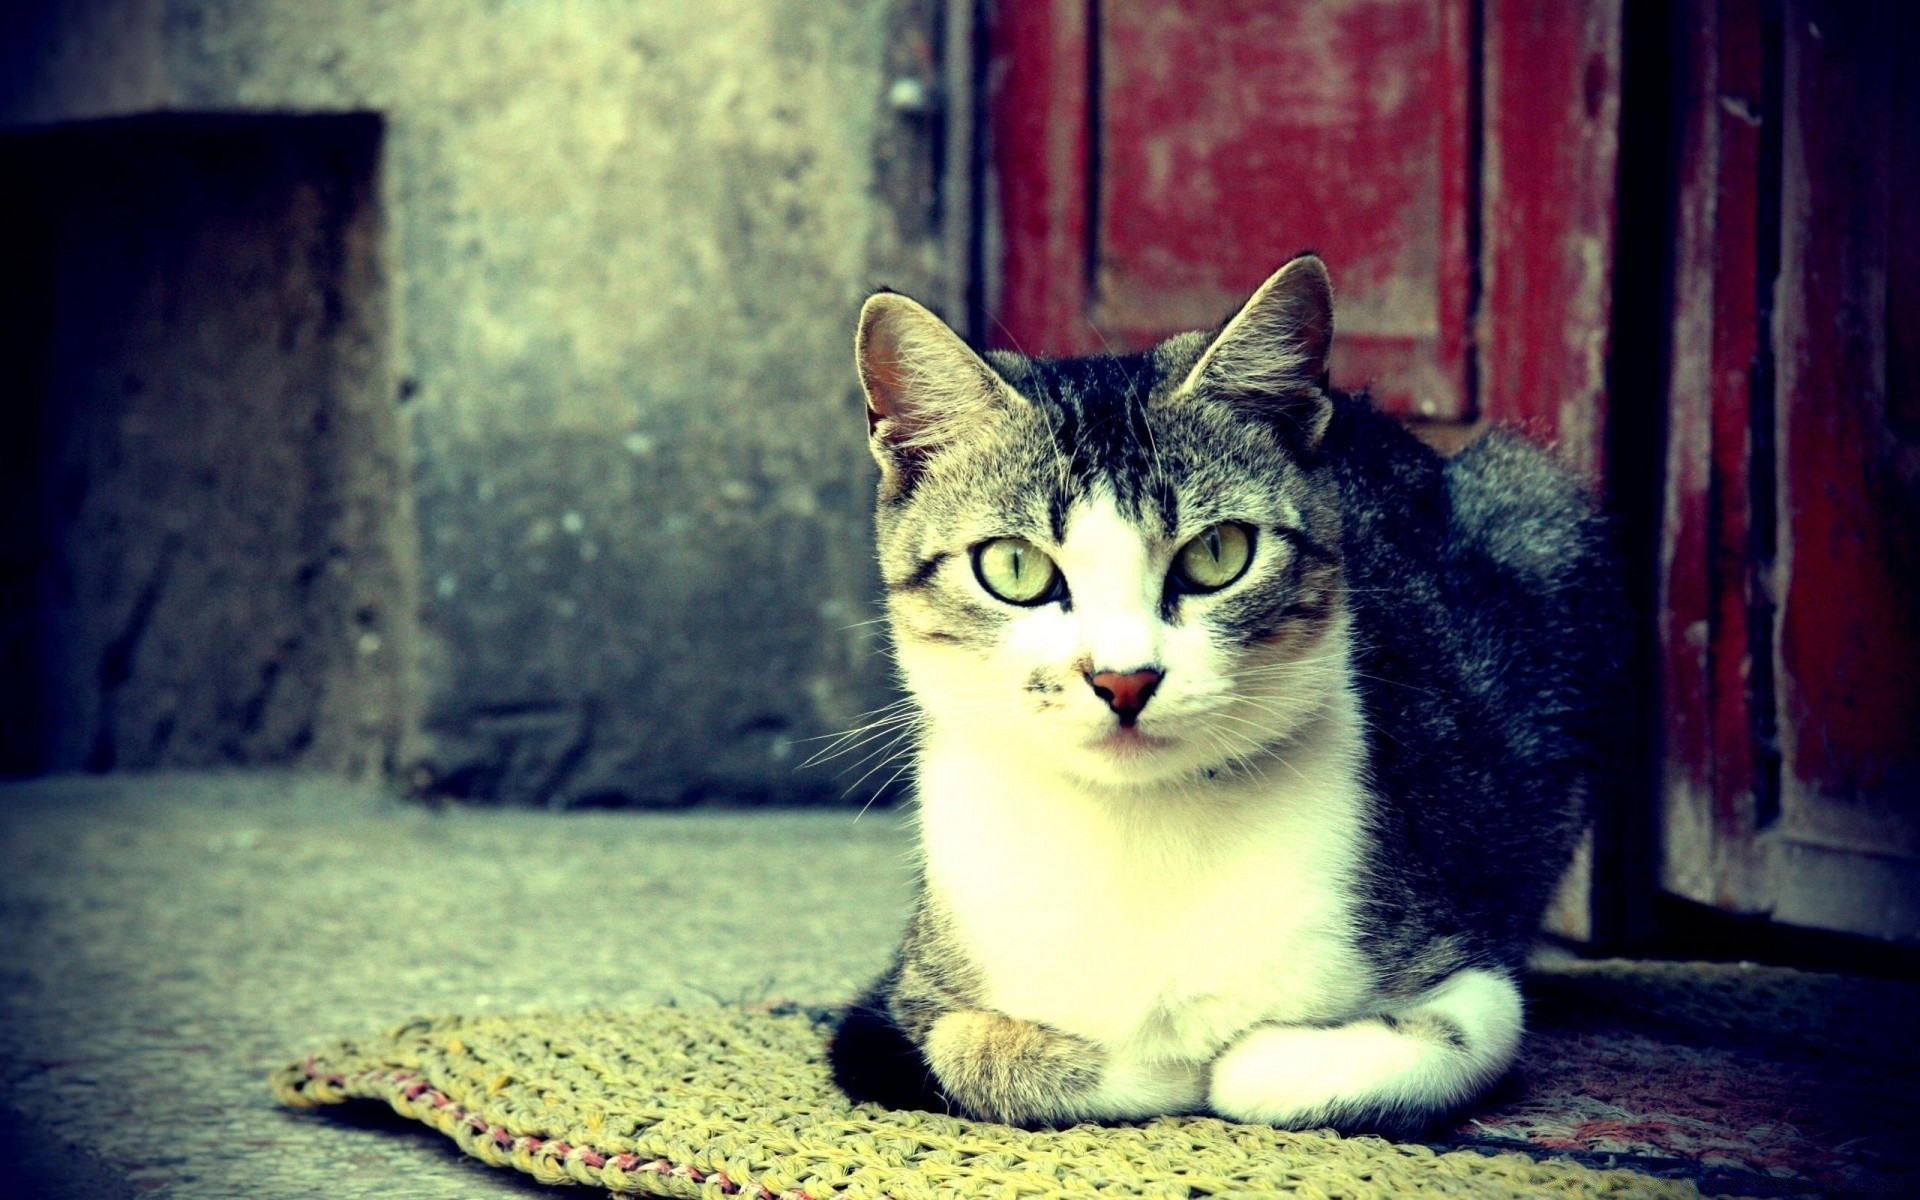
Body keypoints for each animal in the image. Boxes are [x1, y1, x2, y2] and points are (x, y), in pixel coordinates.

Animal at [833, 253, 1628, 1128]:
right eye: (1014, 567)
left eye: (1218, 554)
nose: (1123, 678)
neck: (1138, 827)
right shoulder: (897, 1004)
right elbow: (972, 1048)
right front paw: (1152, 1061)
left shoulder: (1469, 961)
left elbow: (1356, 1056)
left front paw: (1234, 1058)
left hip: (1541, 509)